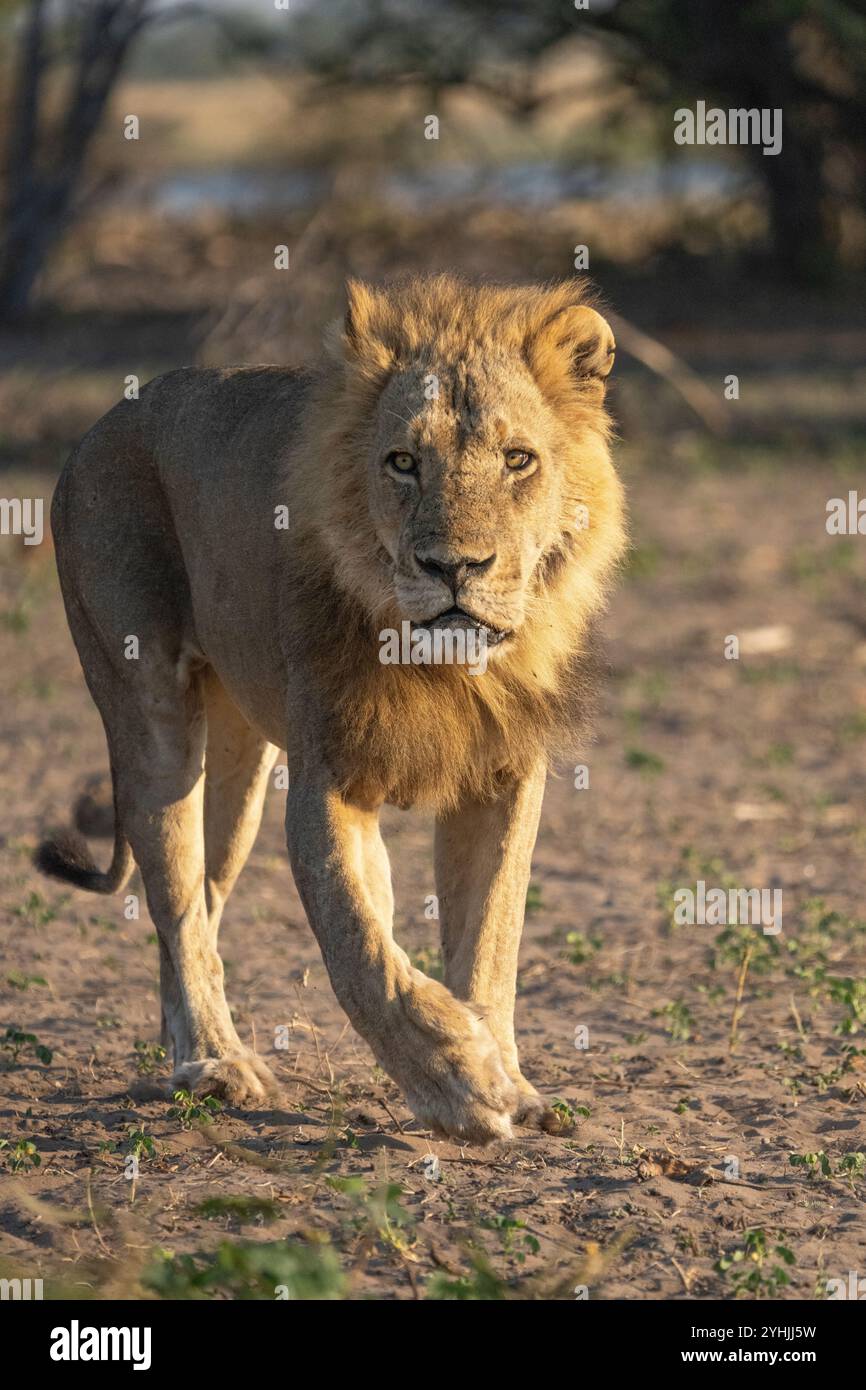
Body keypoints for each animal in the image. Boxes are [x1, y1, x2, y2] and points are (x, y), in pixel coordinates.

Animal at [36, 274, 625, 1143]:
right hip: (148, 716)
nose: (454, 566)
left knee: (200, 903)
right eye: (403, 462)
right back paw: (215, 1064)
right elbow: (361, 947)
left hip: (239, 766)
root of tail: (104, 422)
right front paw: (461, 1081)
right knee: (176, 903)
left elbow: (489, 936)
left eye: (518, 459)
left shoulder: (503, 777)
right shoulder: (329, 780)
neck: (441, 670)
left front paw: (507, 1078)